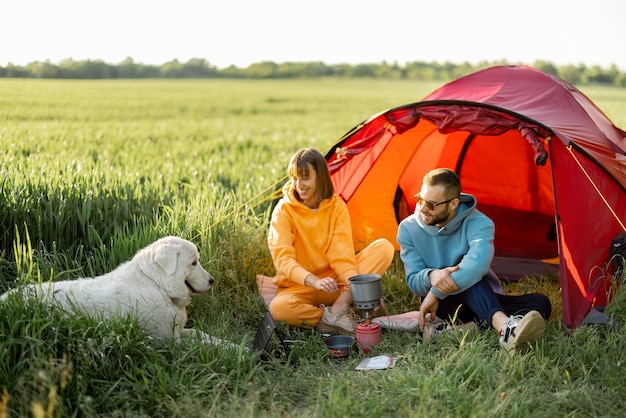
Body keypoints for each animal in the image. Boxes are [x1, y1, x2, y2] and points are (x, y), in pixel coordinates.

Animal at [1, 235, 240, 350]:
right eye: (194, 263)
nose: (212, 281)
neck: (157, 285)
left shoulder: (178, 331)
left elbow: (204, 335)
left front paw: (238, 347)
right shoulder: (168, 341)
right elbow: (203, 344)